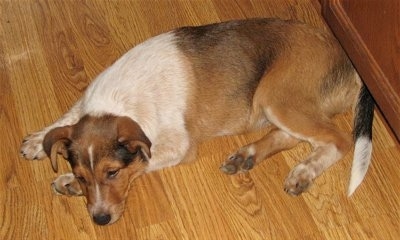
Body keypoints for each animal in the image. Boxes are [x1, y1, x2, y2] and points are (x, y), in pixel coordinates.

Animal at [19, 18, 376, 225]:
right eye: (83, 176)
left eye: (113, 173)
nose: (100, 220)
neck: (119, 102)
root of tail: (347, 58)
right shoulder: (85, 103)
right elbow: (67, 118)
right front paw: (43, 146)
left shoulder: (178, 147)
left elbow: (141, 162)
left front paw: (65, 180)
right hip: (278, 105)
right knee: (295, 136)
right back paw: (246, 156)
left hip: (276, 96)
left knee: (337, 140)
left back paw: (303, 172)